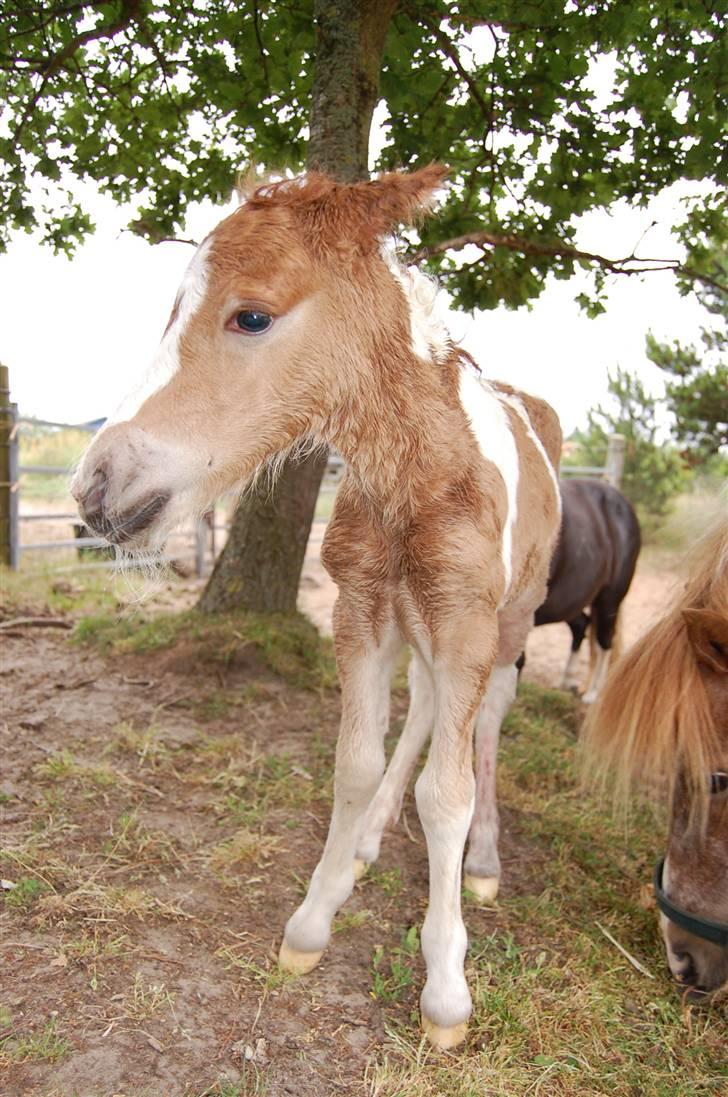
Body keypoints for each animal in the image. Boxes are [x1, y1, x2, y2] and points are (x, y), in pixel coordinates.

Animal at [72, 166, 561, 1048]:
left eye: (252, 315)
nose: (95, 485)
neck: (419, 481)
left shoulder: (468, 623)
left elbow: (448, 794)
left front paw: (446, 991)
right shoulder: (361, 608)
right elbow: (357, 763)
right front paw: (313, 919)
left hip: (511, 619)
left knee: (488, 718)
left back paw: (483, 863)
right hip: (414, 625)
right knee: (425, 705)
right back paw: (370, 840)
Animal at [528, 478, 644, 702]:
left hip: (609, 601)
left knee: (605, 641)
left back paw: (593, 693)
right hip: (569, 602)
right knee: (582, 624)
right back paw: (568, 680)